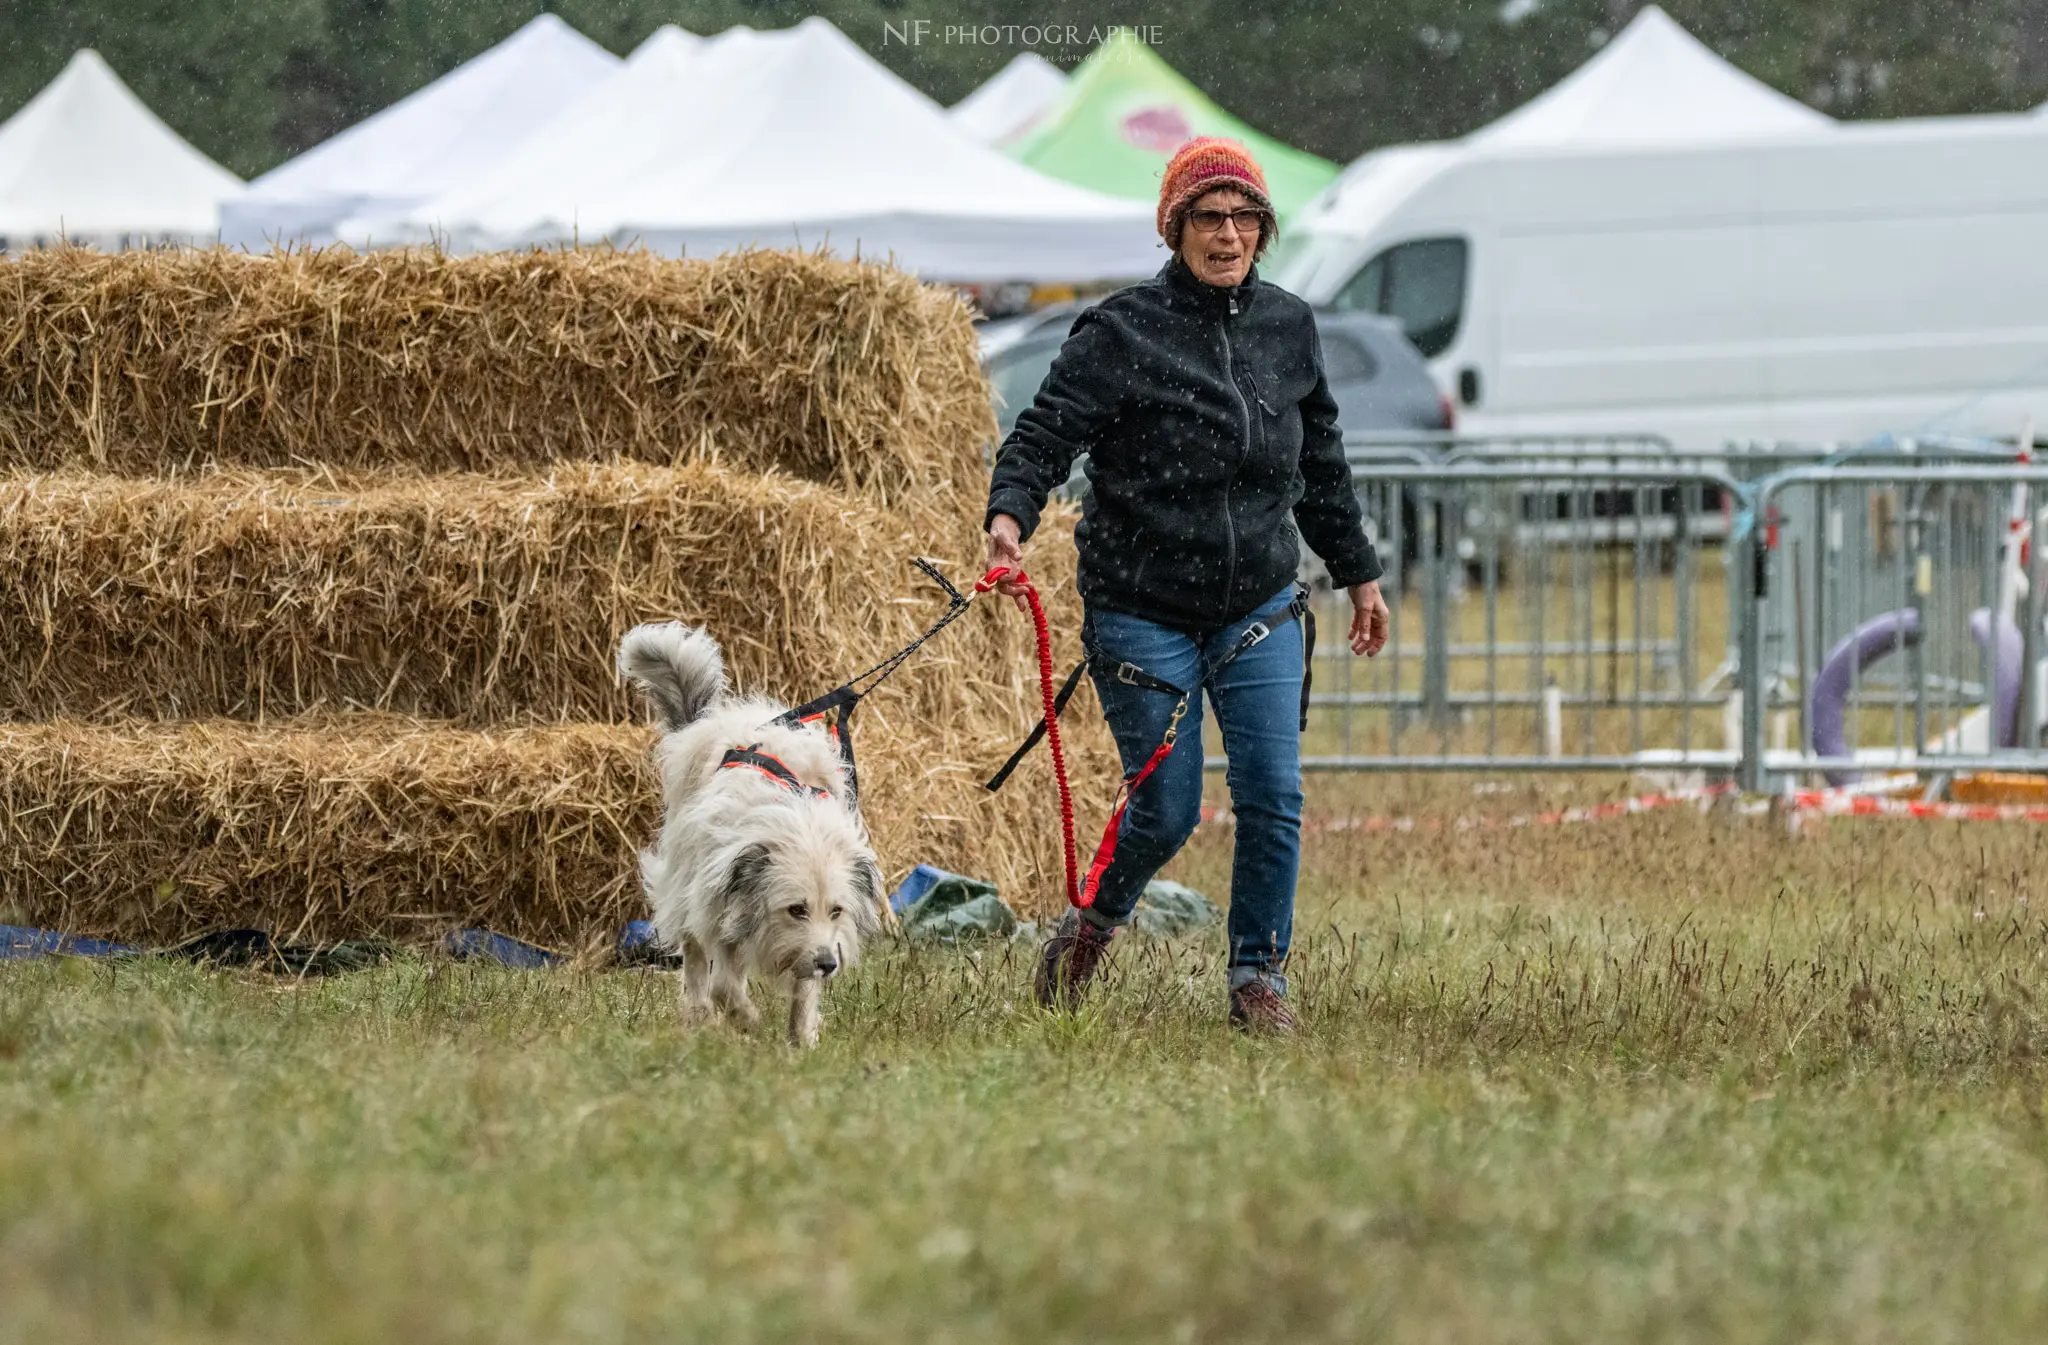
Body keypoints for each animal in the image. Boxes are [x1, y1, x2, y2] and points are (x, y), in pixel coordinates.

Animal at [618, 622, 884, 1048]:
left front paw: (802, 1040)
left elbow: (802, 992)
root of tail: (707, 721)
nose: (829, 964)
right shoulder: (723, 907)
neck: (800, 829)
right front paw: (747, 1022)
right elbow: (722, 986)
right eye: (796, 909)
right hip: (687, 886)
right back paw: (696, 1016)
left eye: (836, 910)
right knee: (696, 960)